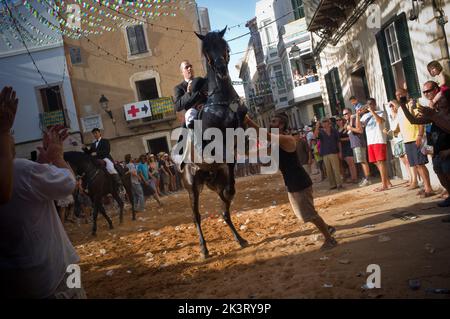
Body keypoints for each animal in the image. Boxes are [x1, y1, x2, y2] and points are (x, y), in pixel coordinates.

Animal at [179, 28, 250, 260]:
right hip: (192, 188)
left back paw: (240, 239)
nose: (220, 69)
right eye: (207, 51)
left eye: (224, 46)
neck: (222, 101)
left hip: (217, 182)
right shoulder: (215, 144)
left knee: (225, 210)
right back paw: (204, 249)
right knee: (197, 217)